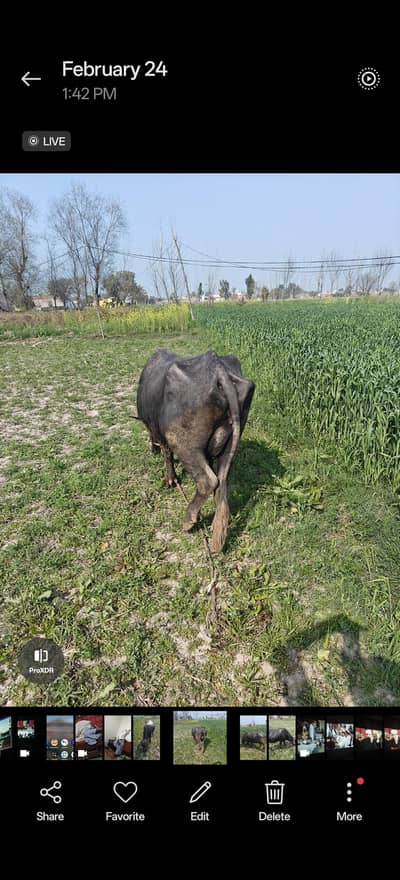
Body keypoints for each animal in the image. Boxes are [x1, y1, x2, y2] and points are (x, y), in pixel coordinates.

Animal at [136, 349, 255, 552]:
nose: (151, 449)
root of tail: (219, 370)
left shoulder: (161, 435)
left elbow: (167, 456)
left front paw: (170, 481)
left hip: (183, 442)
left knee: (208, 481)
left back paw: (189, 521)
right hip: (232, 440)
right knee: (221, 481)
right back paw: (217, 535)